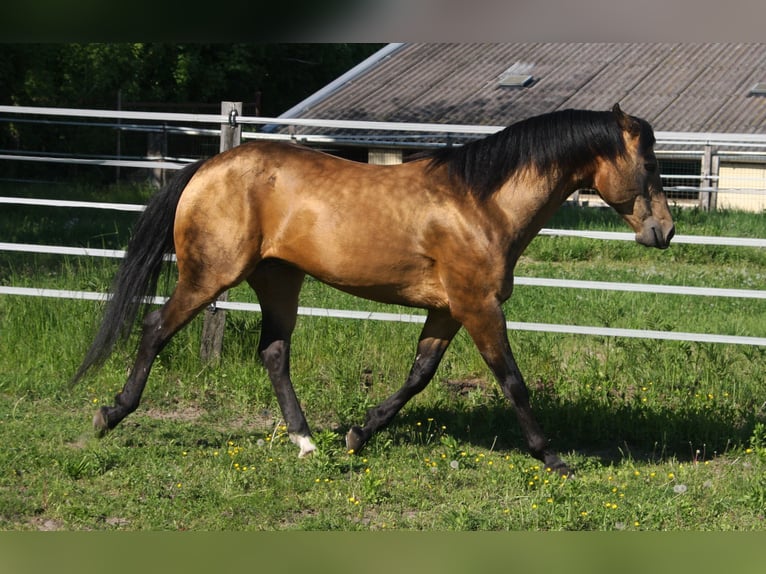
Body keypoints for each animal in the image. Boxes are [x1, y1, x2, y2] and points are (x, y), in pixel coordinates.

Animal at [73, 104, 674, 475]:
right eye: (648, 162)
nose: (664, 231)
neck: (481, 203)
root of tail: (208, 167)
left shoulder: (450, 309)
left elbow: (419, 376)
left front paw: (360, 435)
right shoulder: (478, 307)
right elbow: (513, 383)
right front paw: (553, 459)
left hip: (279, 280)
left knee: (273, 352)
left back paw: (307, 442)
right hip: (208, 276)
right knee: (155, 329)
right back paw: (111, 414)